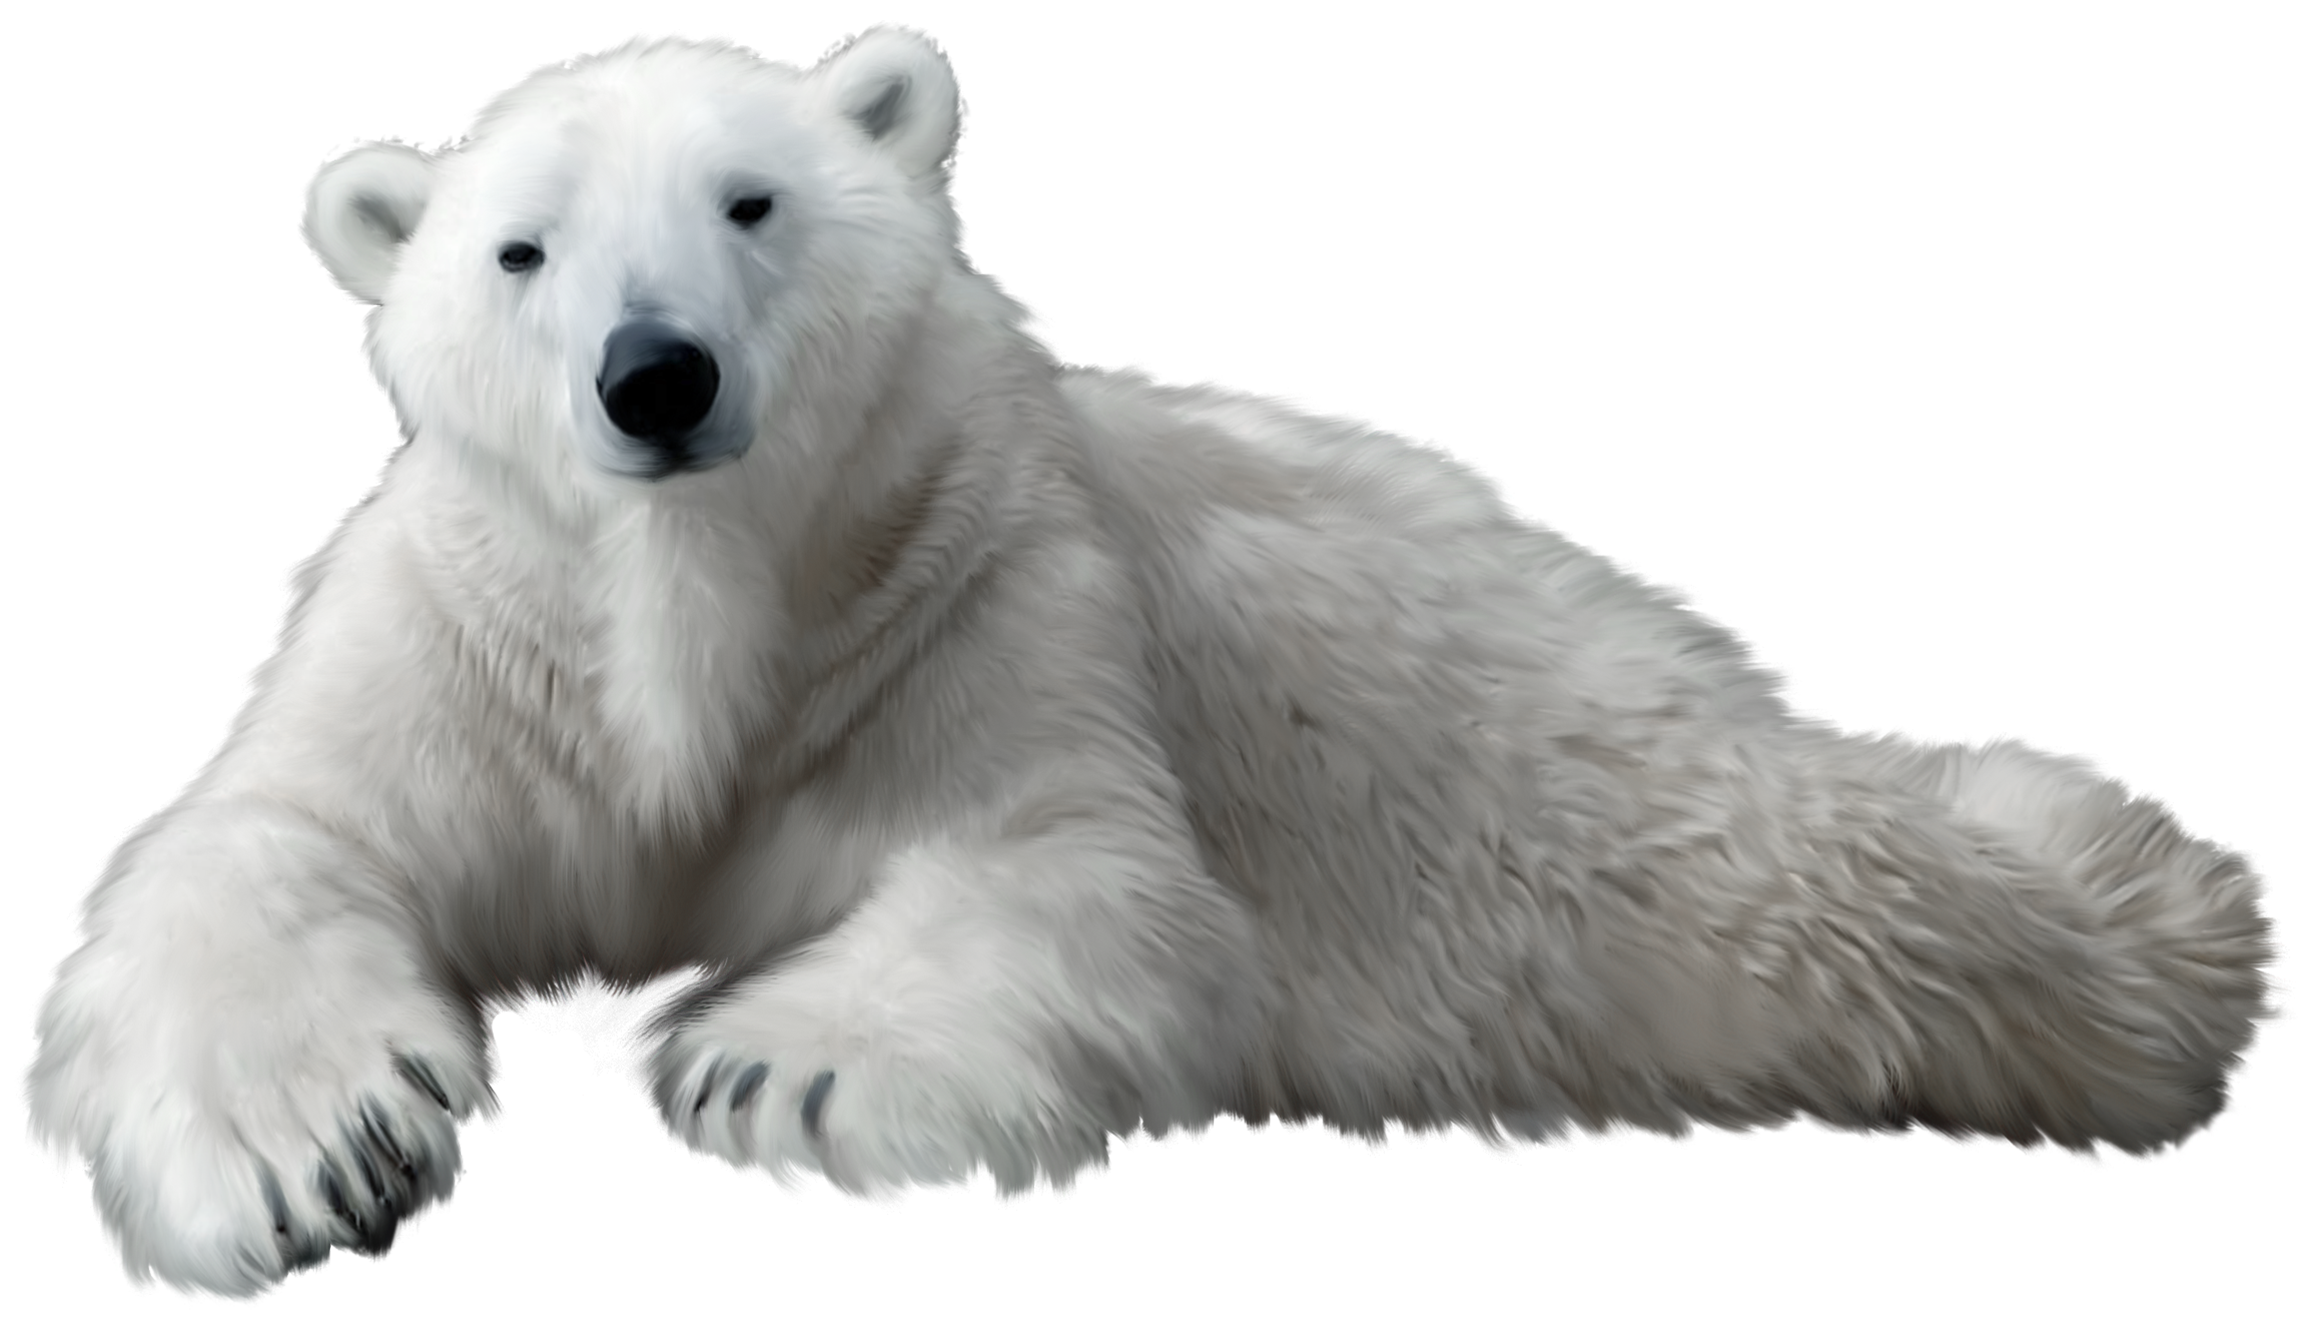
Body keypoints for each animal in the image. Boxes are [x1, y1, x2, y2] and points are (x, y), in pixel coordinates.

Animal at [16, 25, 2285, 1305]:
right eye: (519, 249)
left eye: (751, 202)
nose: (654, 377)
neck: (700, 606)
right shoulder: (485, 643)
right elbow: (267, 846)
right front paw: (314, 1161)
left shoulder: (970, 597)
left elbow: (1070, 874)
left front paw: (766, 1060)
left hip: (1570, 790)